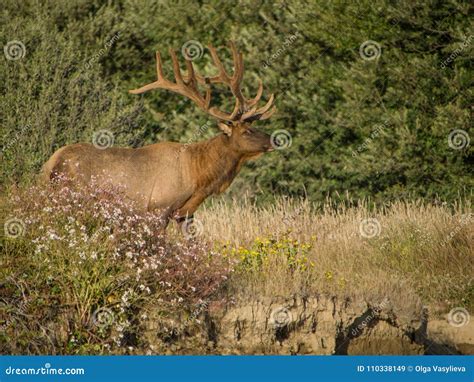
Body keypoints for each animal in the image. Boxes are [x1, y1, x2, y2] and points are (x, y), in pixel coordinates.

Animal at [43, 41, 278, 230]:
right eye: (247, 131)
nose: (273, 139)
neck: (198, 177)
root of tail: (50, 164)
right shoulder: (158, 208)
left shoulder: (186, 214)